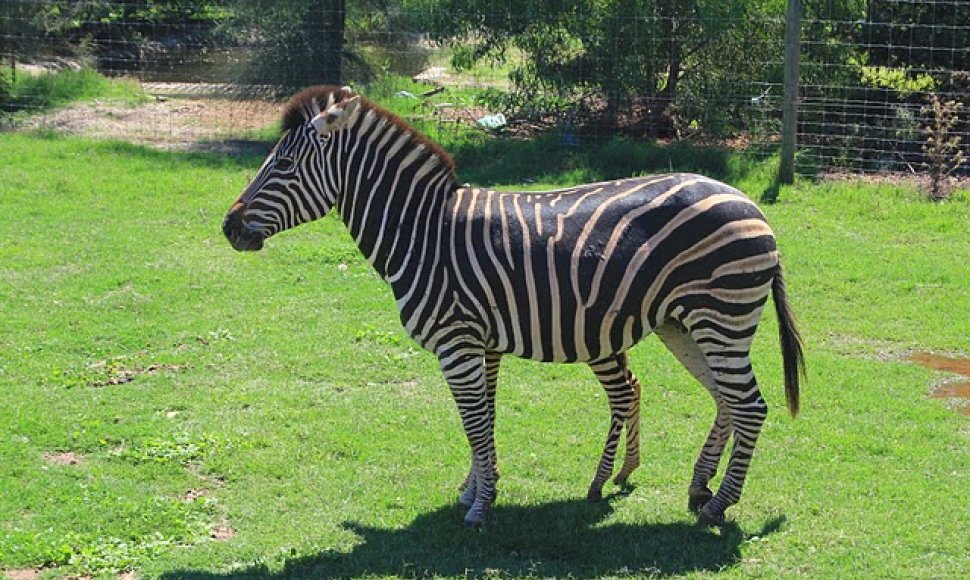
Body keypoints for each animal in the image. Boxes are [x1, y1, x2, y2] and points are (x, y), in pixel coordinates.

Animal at [225, 85, 800, 524]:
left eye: (283, 164)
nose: (229, 227)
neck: (423, 233)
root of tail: (750, 204)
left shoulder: (456, 343)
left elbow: (474, 421)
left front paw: (480, 507)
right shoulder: (482, 343)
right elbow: (484, 418)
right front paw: (475, 489)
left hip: (720, 318)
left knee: (750, 405)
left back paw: (718, 505)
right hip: (683, 324)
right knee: (724, 400)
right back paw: (698, 488)